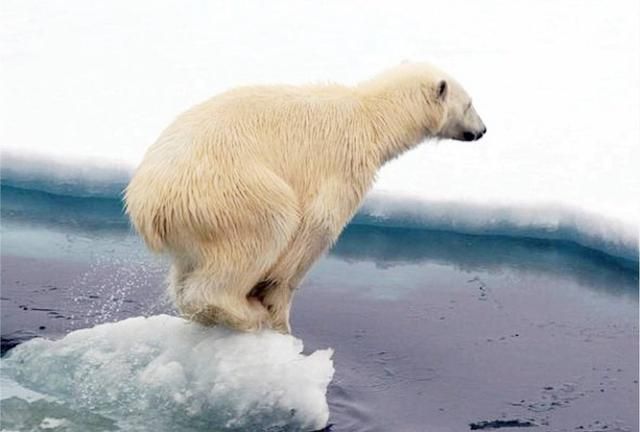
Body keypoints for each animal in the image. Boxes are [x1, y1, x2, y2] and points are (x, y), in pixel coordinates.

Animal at [124, 62, 486, 333]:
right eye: (470, 103)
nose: (482, 130)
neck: (371, 118)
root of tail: (148, 205)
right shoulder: (342, 166)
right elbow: (316, 227)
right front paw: (278, 311)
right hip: (230, 193)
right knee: (267, 226)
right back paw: (243, 312)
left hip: (190, 226)